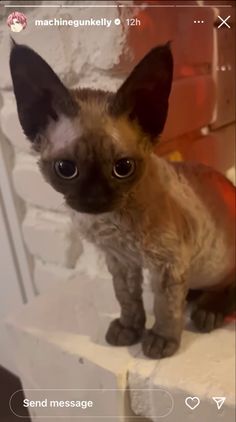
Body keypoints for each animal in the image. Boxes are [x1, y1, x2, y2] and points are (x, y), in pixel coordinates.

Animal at [9, 40, 236, 360]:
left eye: (123, 168)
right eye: (66, 169)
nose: (95, 197)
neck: (110, 225)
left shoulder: (167, 265)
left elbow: (165, 308)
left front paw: (160, 340)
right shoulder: (121, 261)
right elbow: (127, 299)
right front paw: (129, 329)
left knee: (228, 286)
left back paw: (208, 311)